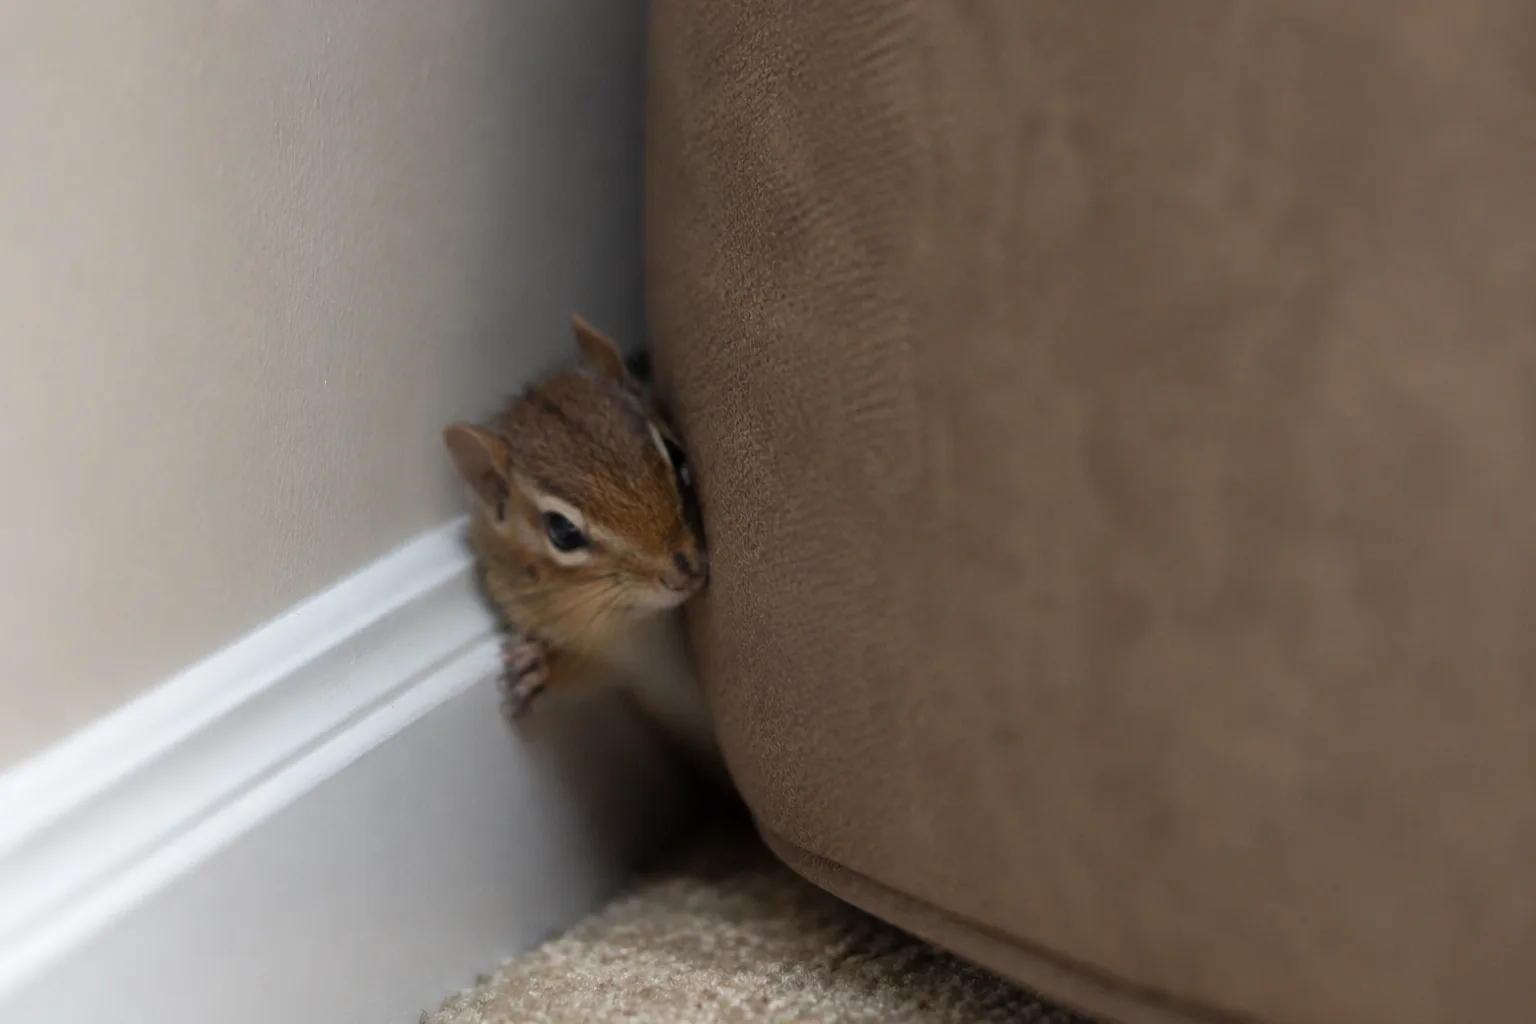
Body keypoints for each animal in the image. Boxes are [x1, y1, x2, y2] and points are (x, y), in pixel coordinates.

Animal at [443, 315, 724, 784]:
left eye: (676, 452)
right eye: (562, 532)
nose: (685, 567)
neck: (647, 630)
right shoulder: (613, 656)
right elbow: (586, 672)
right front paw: (536, 667)